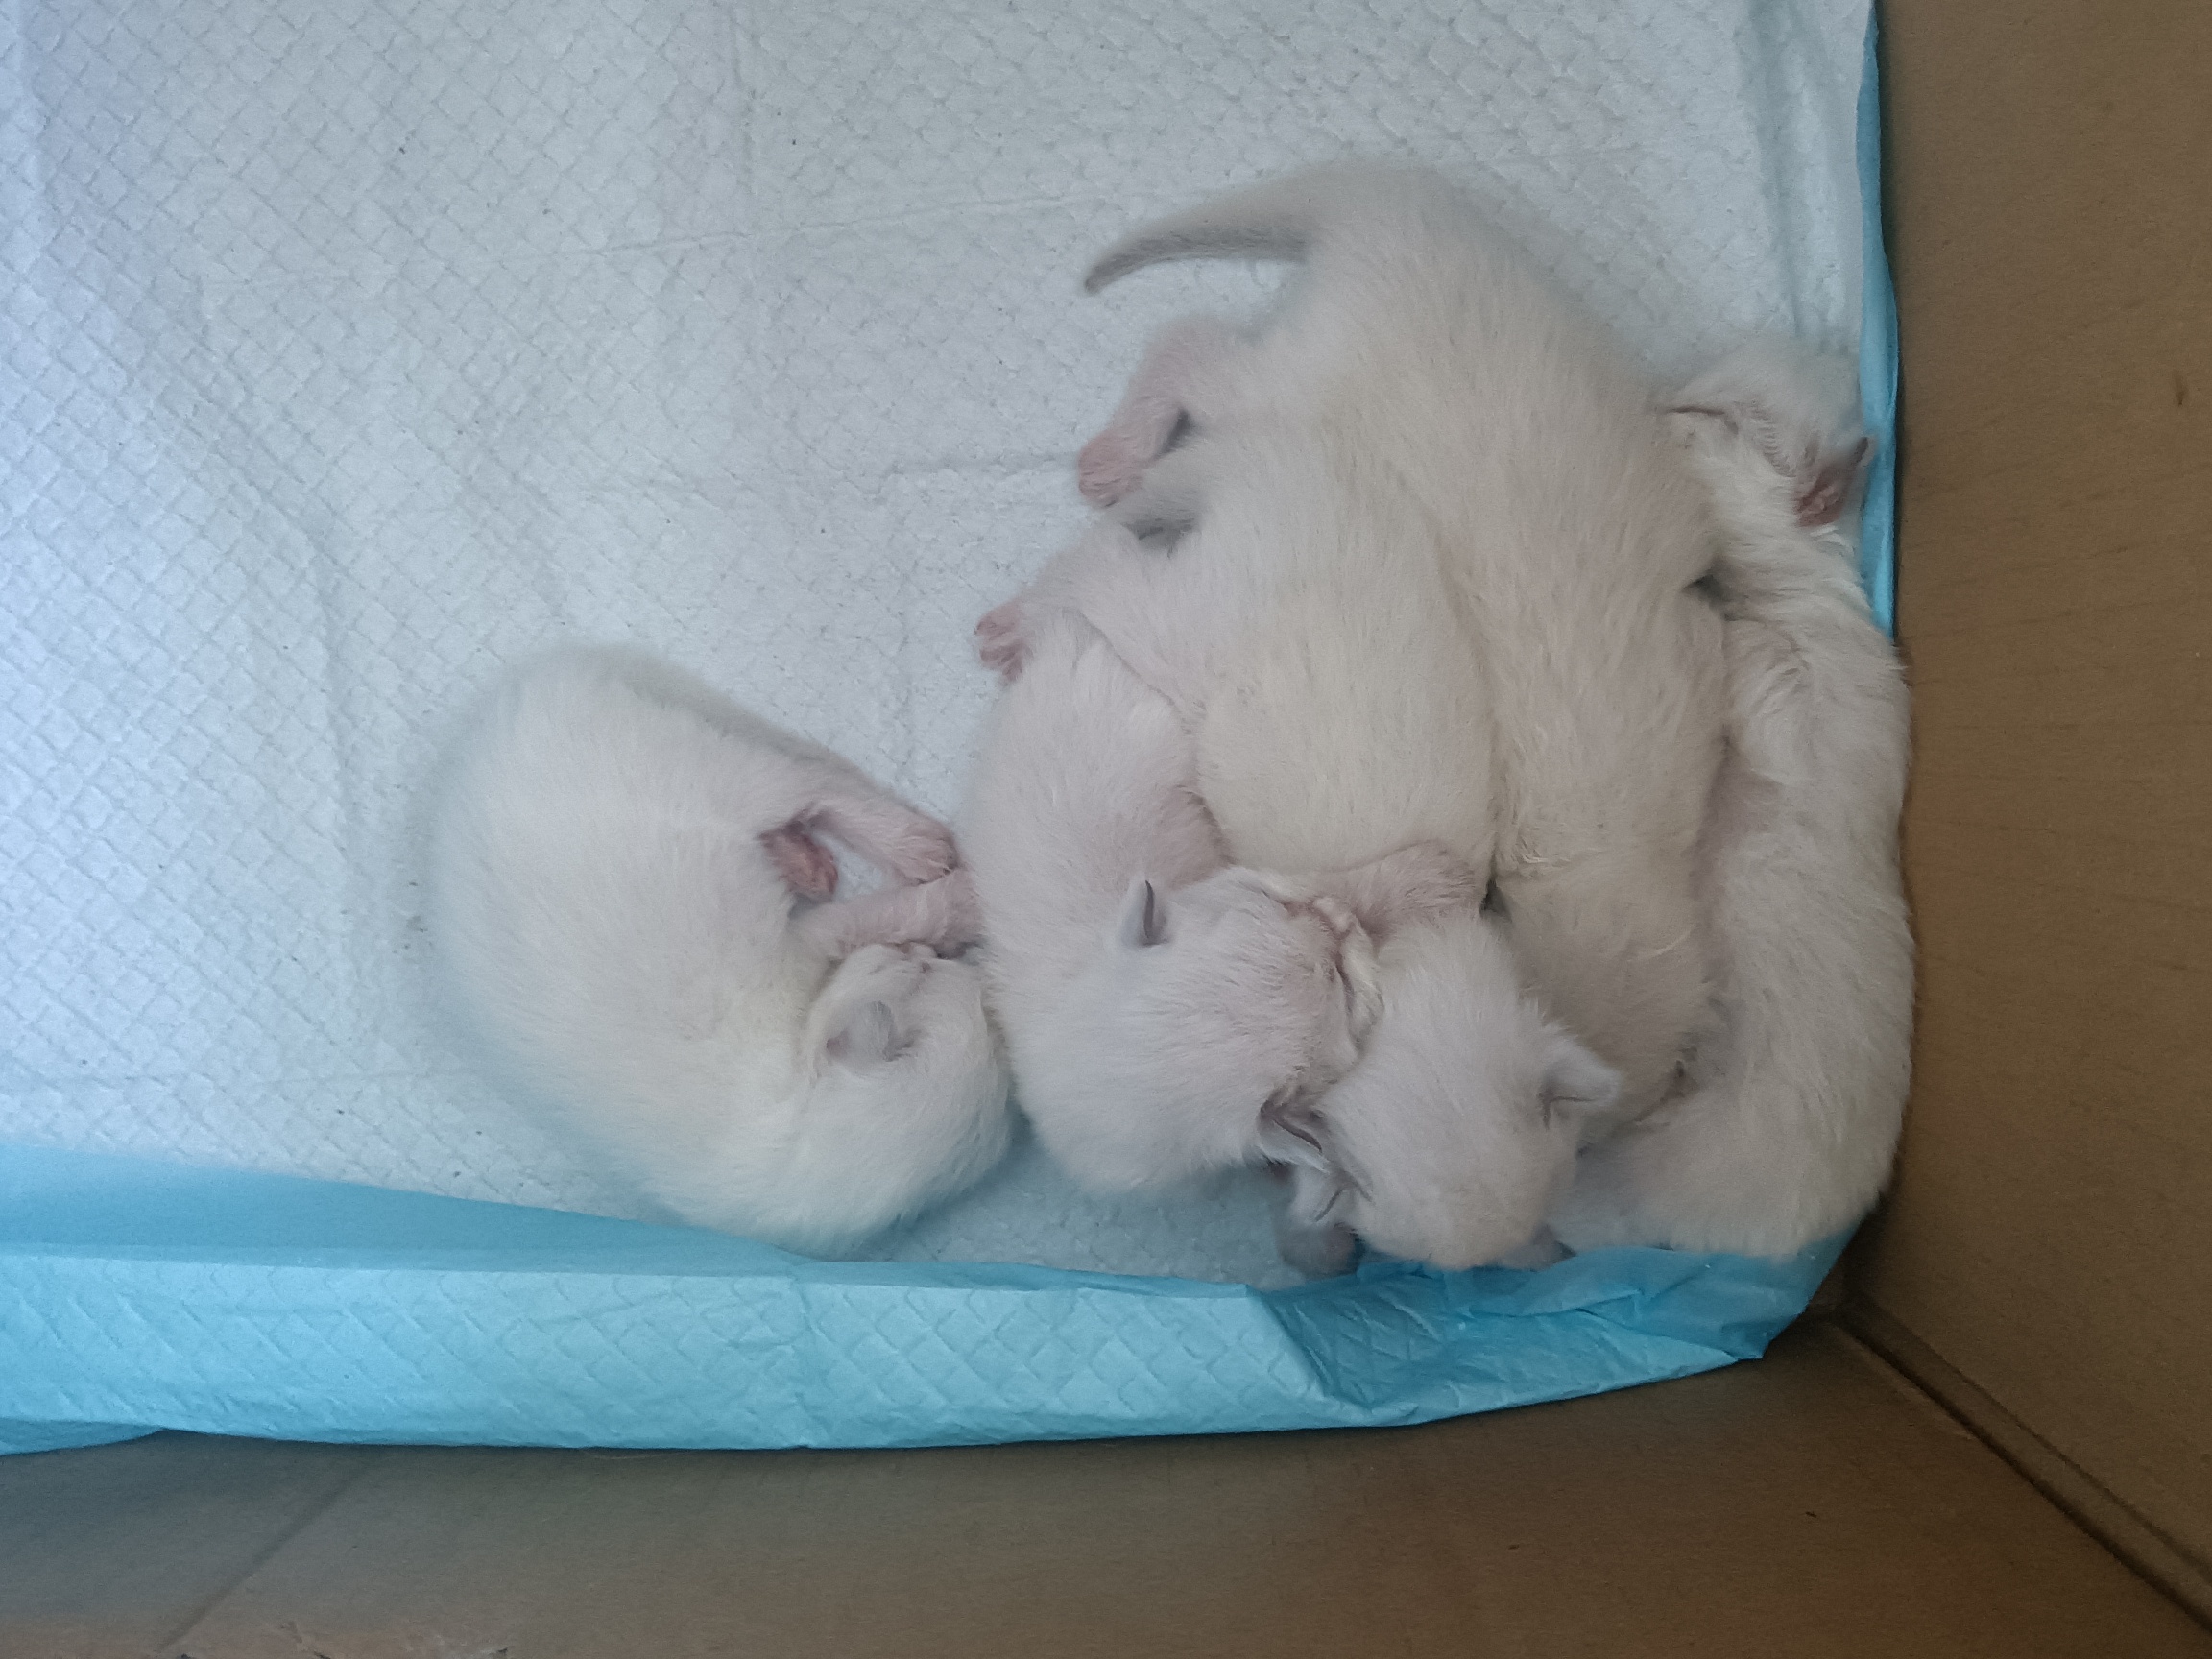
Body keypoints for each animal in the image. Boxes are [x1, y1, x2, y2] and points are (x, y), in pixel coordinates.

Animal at [428, 645, 1012, 1254]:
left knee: (815, 791)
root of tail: (534, 686)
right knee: (817, 790)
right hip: (722, 773)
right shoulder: (807, 947)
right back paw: (876, 853)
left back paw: (860, 854)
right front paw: (964, 903)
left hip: (720, 769)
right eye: (924, 970)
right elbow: (879, 915)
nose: (919, 956)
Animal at [1544, 344, 1912, 1256]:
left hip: (1659, 1174)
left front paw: (1722, 622)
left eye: (1713, 417)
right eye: (1691, 396)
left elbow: (1758, 665)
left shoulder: (1815, 726)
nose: (1654, 405)